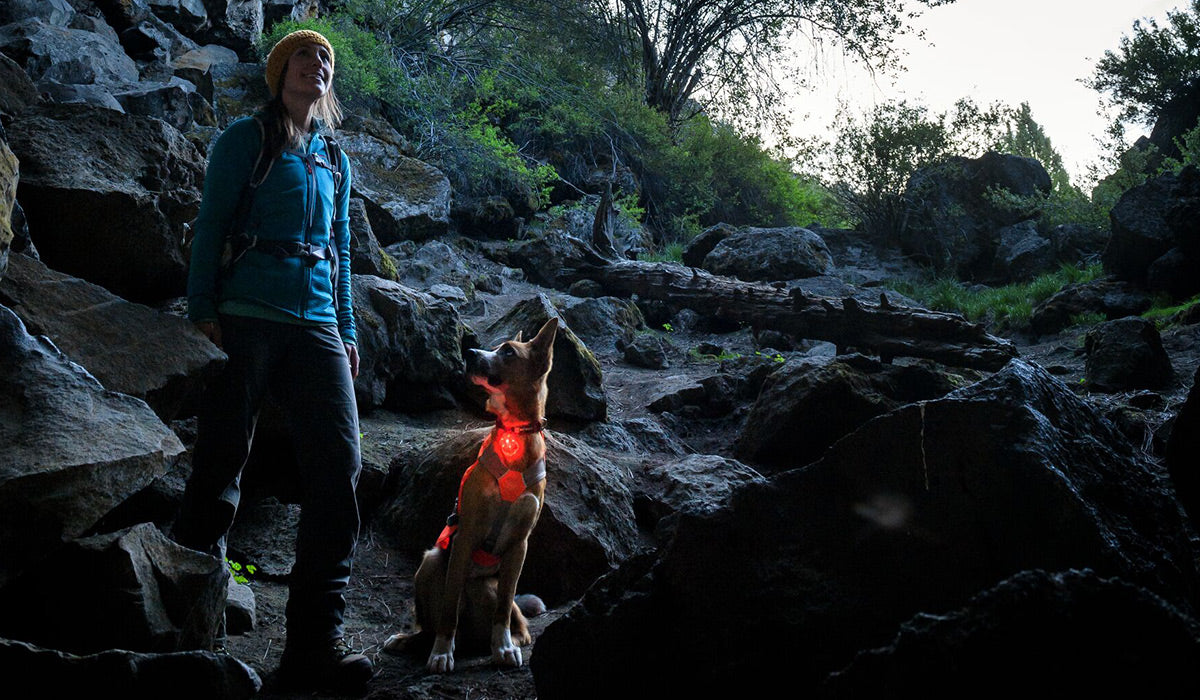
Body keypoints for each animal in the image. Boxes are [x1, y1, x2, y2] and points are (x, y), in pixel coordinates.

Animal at [386, 316, 559, 672]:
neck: (515, 434)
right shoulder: (466, 535)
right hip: (431, 563)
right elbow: (449, 608)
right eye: (495, 347)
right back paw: (415, 641)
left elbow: (504, 609)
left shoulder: (519, 545)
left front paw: (503, 647)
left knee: (516, 620)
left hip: (490, 587)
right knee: (431, 623)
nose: (469, 353)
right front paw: (441, 653)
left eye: (508, 351)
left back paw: (508, 640)